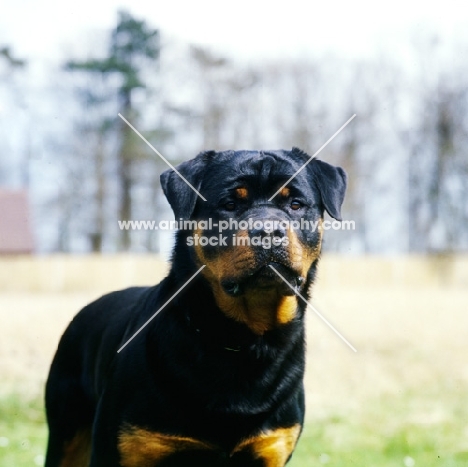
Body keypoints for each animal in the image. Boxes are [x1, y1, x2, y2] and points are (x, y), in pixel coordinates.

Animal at [45, 148, 346, 466]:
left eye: (296, 204)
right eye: (229, 204)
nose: (268, 230)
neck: (245, 341)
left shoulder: (271, 448)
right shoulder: (118, 449)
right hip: (66, 430)